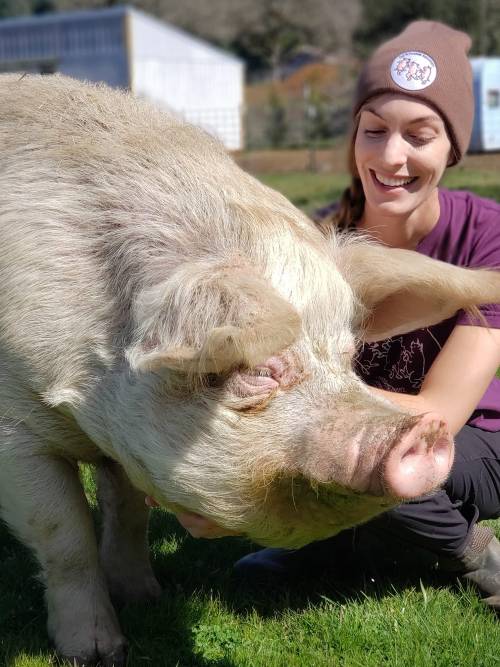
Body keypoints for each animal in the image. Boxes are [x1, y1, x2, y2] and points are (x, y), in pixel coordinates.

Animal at [1, 73, 500, 665]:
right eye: (260, 370)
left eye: (347, 355)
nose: (422, 431)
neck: (87, 400)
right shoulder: (13, 431)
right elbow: (66, 535)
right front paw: (99, 653)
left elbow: (128, 512)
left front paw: (147, 597)